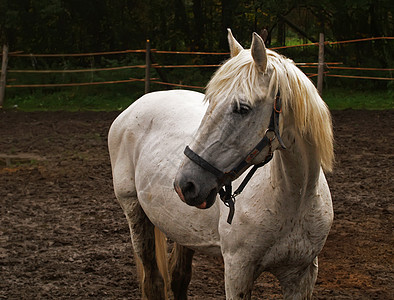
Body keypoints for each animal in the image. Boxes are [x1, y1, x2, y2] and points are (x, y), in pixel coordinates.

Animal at [107, 29, 332, 300]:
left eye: (242, 108)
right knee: (154, 282)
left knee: (179, 278)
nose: (186, 184)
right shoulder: (238, 270)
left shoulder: (301, 275)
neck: (294, 198)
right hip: (134, 211)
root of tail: (133, 107)